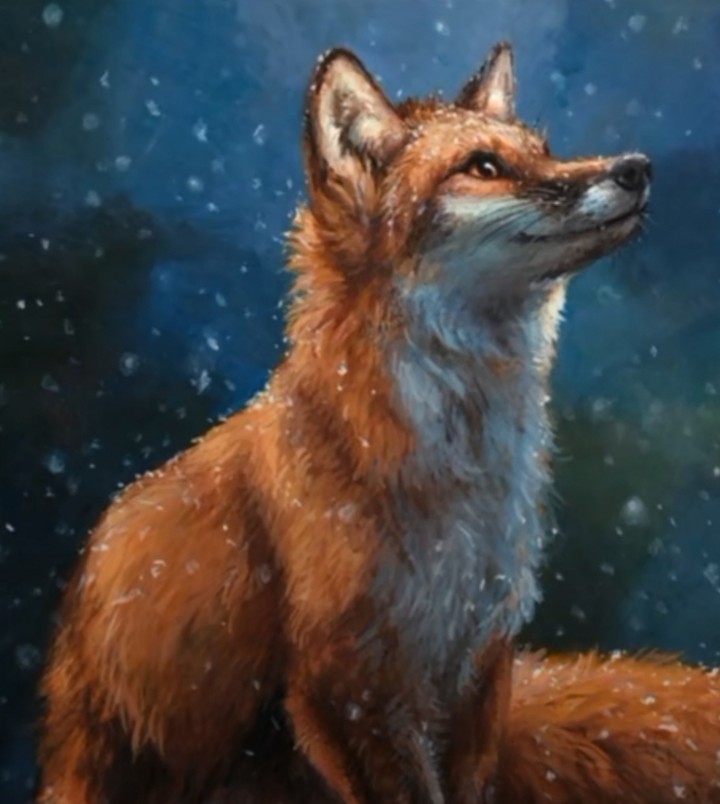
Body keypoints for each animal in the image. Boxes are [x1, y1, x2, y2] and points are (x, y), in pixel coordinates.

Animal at [35, 41, 720, 804]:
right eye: (483, 166)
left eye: (545, 151)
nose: (636, 168)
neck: (456, 483)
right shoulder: (351, 685)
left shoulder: (477, 666)